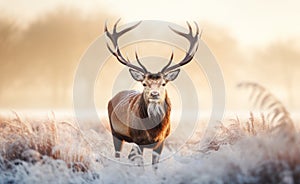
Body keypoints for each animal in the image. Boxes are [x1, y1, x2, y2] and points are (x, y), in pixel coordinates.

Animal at [105, 19, 199, 168]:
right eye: (144, 83)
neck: (154, 130)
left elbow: (155, 166)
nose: (154, 94)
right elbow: (141, 165)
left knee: (129, 156)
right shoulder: (138, 140)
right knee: (118, 154)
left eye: (164, 83)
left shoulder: (162, 141)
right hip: (115, 132)